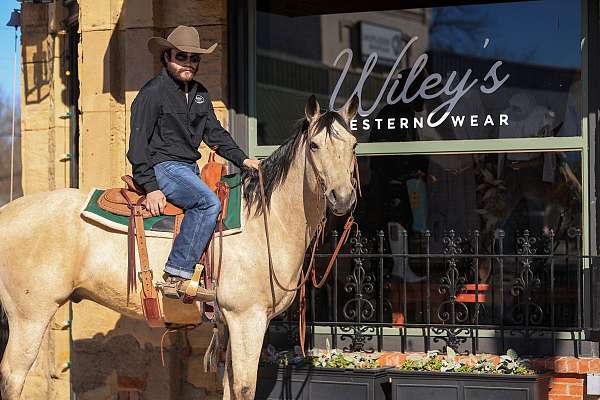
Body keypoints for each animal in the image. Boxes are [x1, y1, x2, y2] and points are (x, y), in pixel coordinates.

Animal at [0, 95, 358, 398]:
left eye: (354, 144)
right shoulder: (247, 318)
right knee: (13, 375)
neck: (264, 220)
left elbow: (229, 387)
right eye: (314, 145)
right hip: (30, 317)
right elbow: (244, 387)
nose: (342, 197)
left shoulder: (231, 323)